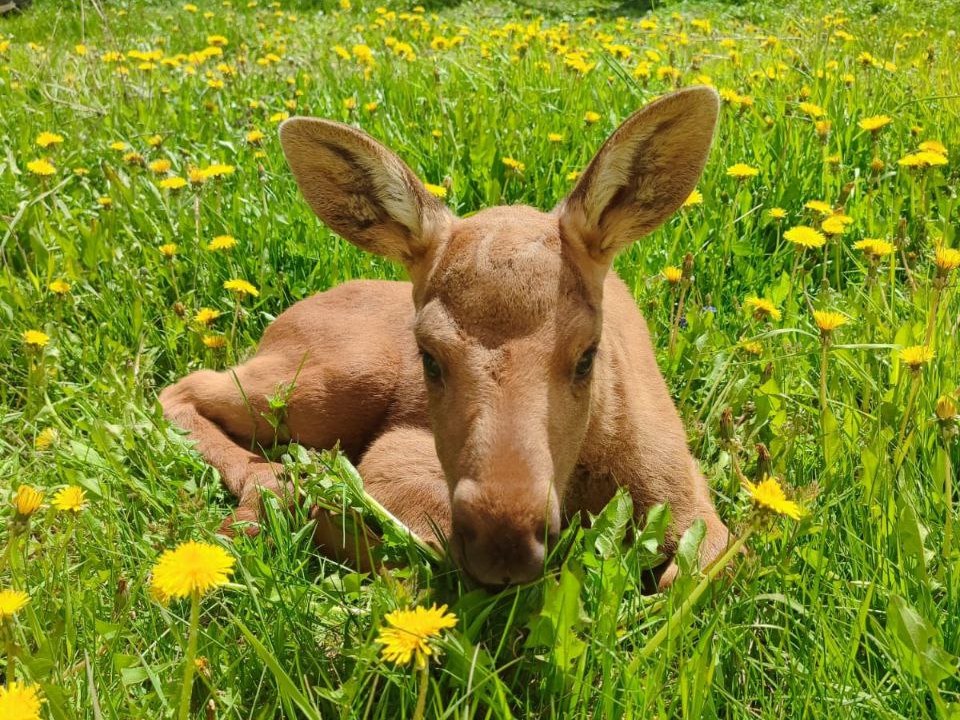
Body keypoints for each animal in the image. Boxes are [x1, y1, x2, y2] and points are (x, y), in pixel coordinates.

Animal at [159, 87, 728, 588]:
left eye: (588, 354)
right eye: (429, 357)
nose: (504, 542)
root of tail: (281, 323)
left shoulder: (685, 487)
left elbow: (704, 565)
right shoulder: (396, 453)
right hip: (337, 380)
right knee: (185, 387)